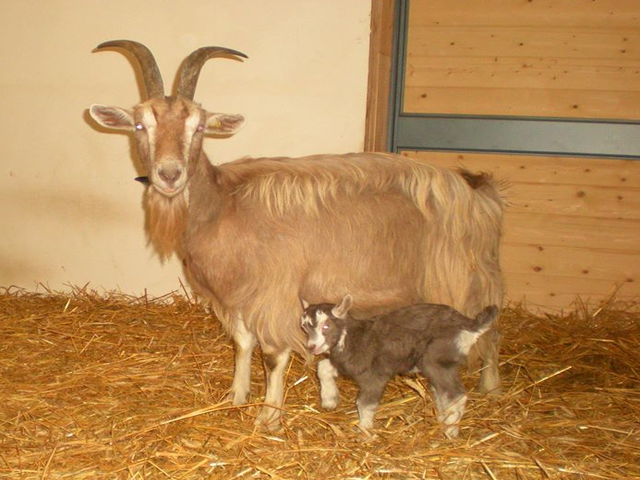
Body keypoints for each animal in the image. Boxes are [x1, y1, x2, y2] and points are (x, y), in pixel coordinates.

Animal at [301, 295, 498, 438]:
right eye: (305, 327)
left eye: (326, 326)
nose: (312, 347)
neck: (353, 338)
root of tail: (468, 324)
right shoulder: (345, 364)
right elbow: (323, 367)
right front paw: (329, 400)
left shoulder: (374, 376)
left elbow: (364, 403)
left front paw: (364, 431)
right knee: (443, 393)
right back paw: (442, 420)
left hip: (437, 359)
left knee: (456, 394)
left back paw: (450, 430)